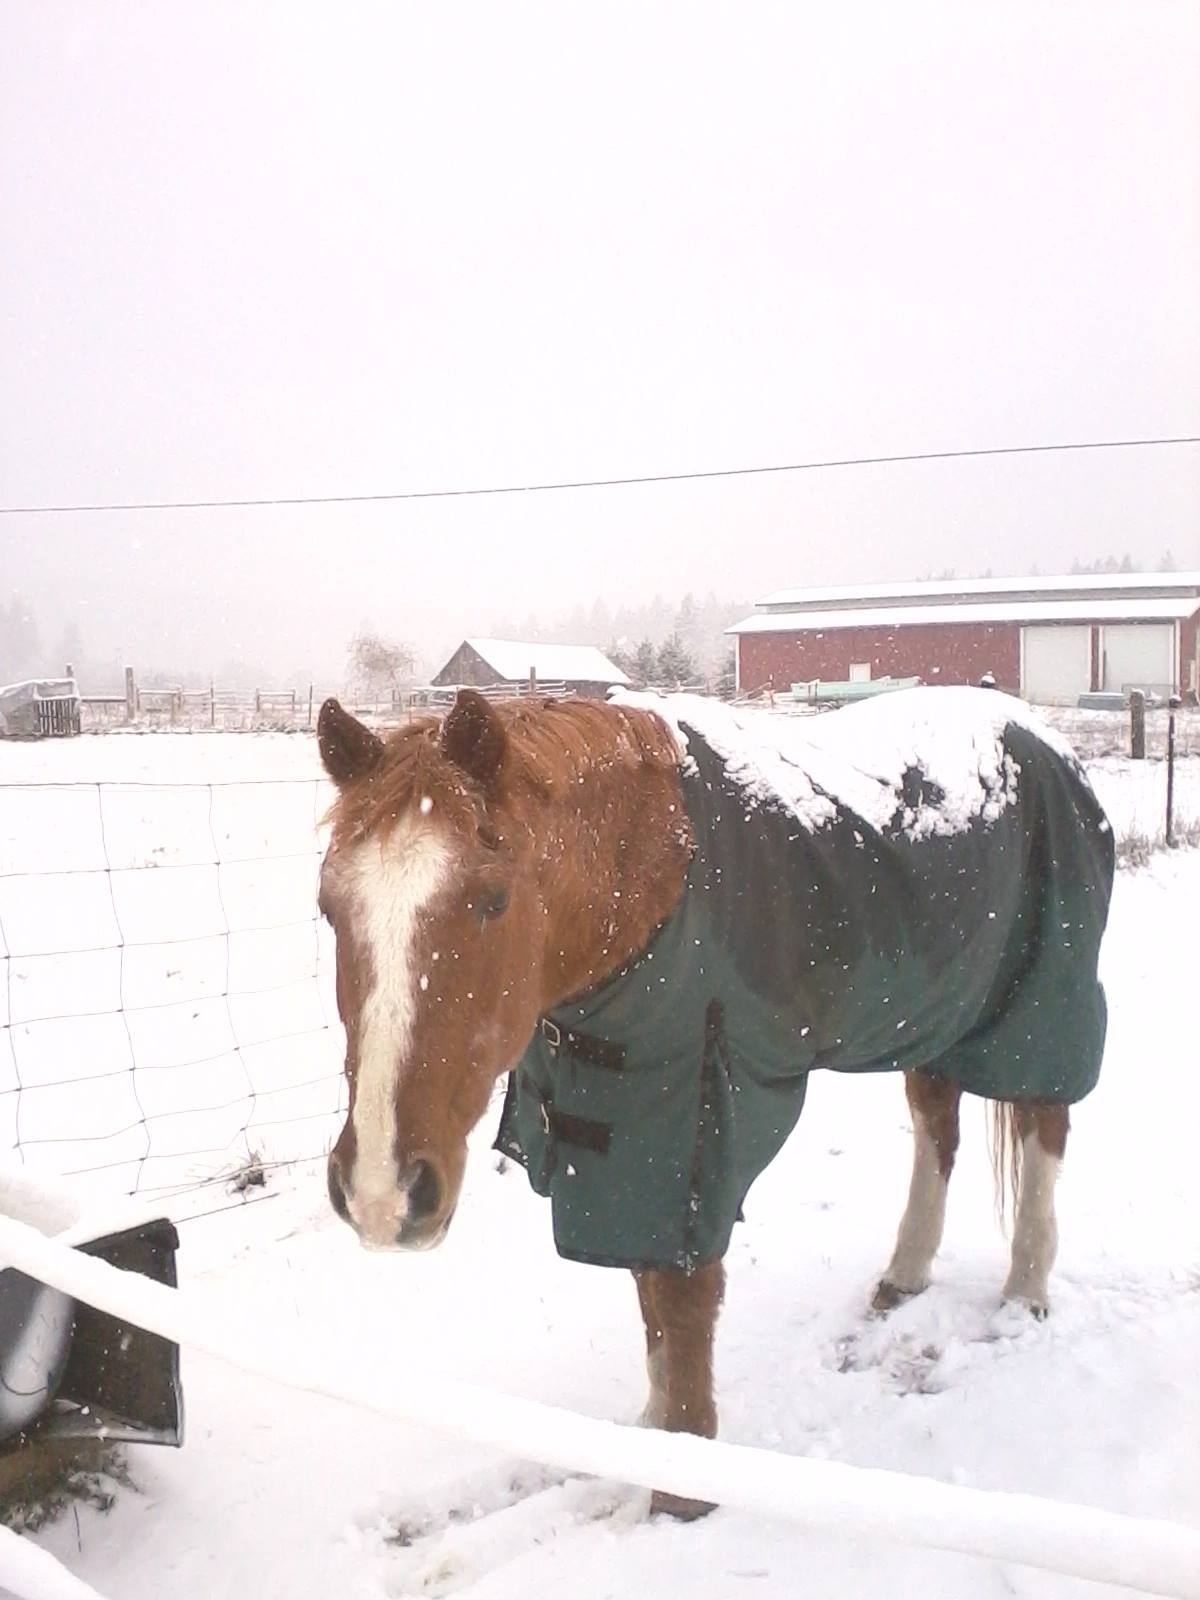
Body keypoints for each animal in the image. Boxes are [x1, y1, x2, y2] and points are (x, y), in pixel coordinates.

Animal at [315, 685, 1113, 1518]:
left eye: (492, 900)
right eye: (330, 908)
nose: (381, 1191)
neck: (649, 882)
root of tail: (1042, 737)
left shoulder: (693, 1130)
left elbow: (684, 1299)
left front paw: (684, 1487)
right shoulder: (625, 1135)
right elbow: (650, 1298)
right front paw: (653, 1431)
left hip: (1040, 1004)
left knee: (1044, 1128)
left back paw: (1025, 1291)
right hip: (936, 1012)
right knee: (937, 1124)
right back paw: (906, 1272)